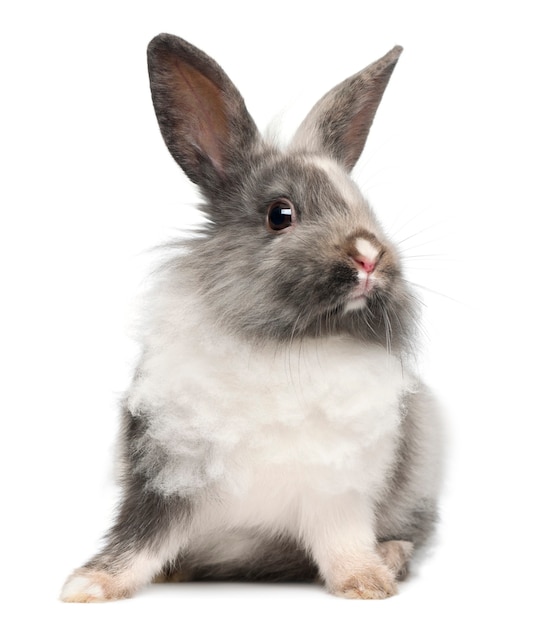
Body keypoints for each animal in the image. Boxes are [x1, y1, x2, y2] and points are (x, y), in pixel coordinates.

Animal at [59, 33, 442, 600]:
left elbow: (343, 542)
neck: (285, 344)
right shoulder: (165, 477)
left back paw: (391, 555)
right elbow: (138, 539)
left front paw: (366, 583)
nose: (369, 256)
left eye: (365, 207)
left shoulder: (339, 493)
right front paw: (90, 585)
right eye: (280, 214)